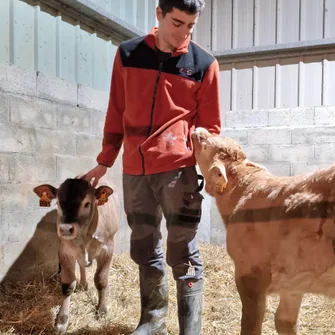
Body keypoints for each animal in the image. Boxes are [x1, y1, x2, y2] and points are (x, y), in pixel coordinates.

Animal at [33, 177, 119, 334]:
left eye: (87, 203)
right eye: (58, 202)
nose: (66, 228)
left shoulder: (107, 248)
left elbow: (101, 279)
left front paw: (102, 310)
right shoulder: (65, 251)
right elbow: (68, 285)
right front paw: (62, 320)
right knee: (81, 264)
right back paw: (83, 284)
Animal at [192, 126, 335, 335]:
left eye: (204, 146)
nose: (198, 129)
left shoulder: (250, 271)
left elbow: (252, 322)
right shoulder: (294, 280)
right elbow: (284, 321)